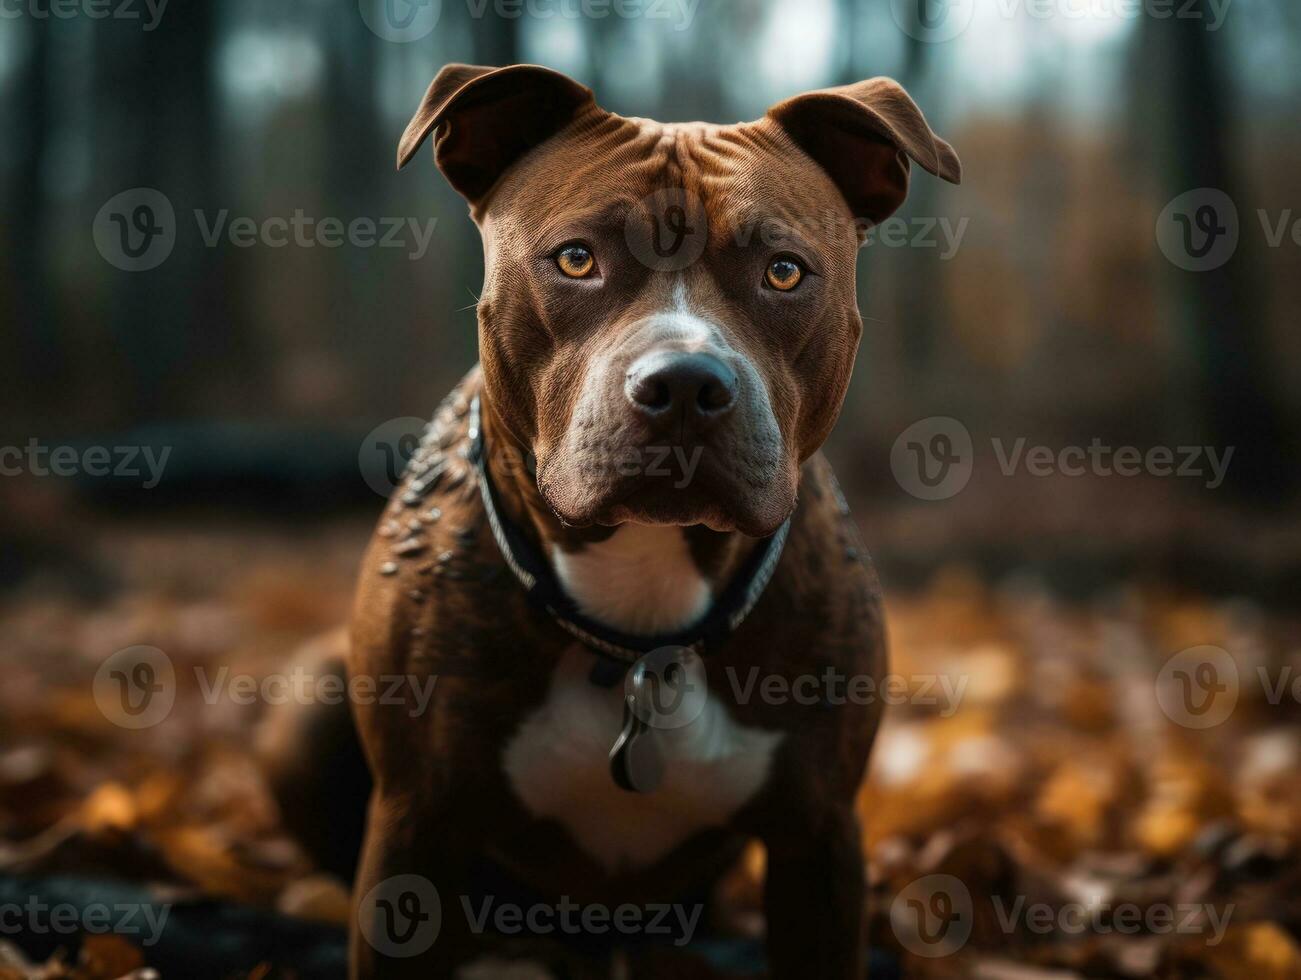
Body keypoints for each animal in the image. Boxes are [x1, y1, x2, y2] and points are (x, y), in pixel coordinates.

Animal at [261, 65, 957, 973]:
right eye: (575, 259)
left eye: (783, 272)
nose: (687, 384)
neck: (638, 607)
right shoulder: (416, 828)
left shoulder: (819, 841)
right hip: (307, 699)